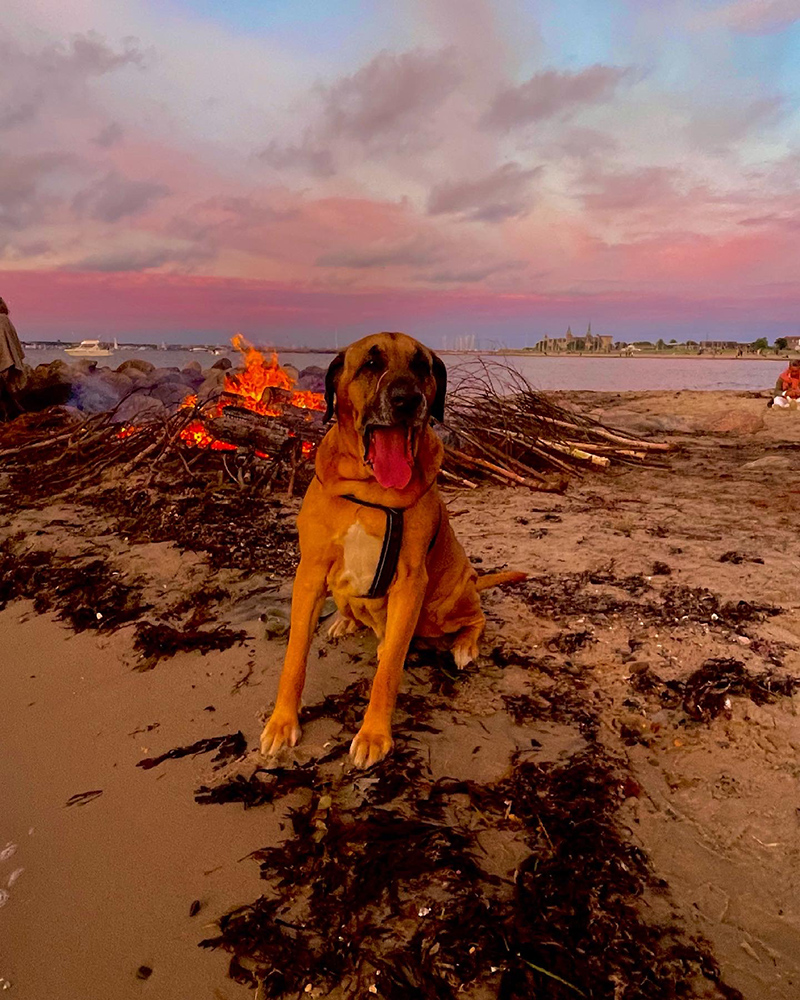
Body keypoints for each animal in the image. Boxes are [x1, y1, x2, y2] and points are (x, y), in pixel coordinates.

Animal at [260, 330, 524, 764]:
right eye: (371, 363)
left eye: (421, 365)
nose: (407, 400)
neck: (370, 491)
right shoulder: (310, 573)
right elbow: (294, 656)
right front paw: (282, 722)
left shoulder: (410, 582)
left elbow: (388, 673)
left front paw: (373, 734)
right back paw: (345, 621)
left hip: (441, 605)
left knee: (475, 617)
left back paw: (464, 646)